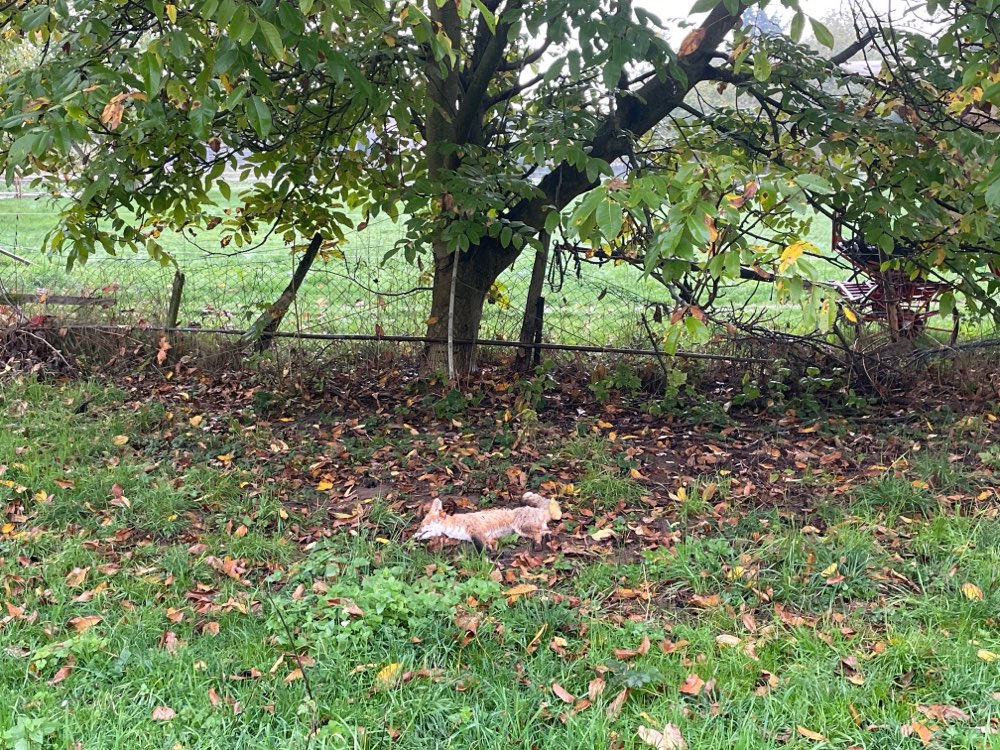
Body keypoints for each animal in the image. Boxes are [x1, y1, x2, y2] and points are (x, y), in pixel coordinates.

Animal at [413, 492, 561, 551]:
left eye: (423, 525)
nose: (413, 536)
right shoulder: (485, 537)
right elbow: (486, 544)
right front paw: (490, 550)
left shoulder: (475, 531)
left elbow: (479, 547)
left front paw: (486, 555)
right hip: (527, 529)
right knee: (545, 531)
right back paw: (547, 538)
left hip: (521, 528)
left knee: (539, 534)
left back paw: (538, 545)